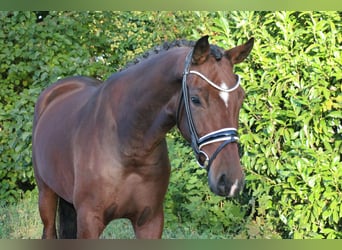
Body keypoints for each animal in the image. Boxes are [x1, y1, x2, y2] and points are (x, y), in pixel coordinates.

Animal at [32, 35, 254, 238]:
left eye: (241, 98)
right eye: (195, 99)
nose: (231, 181)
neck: (128, 146)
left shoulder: (150, 221)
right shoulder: (89, 221)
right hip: (46, 195)